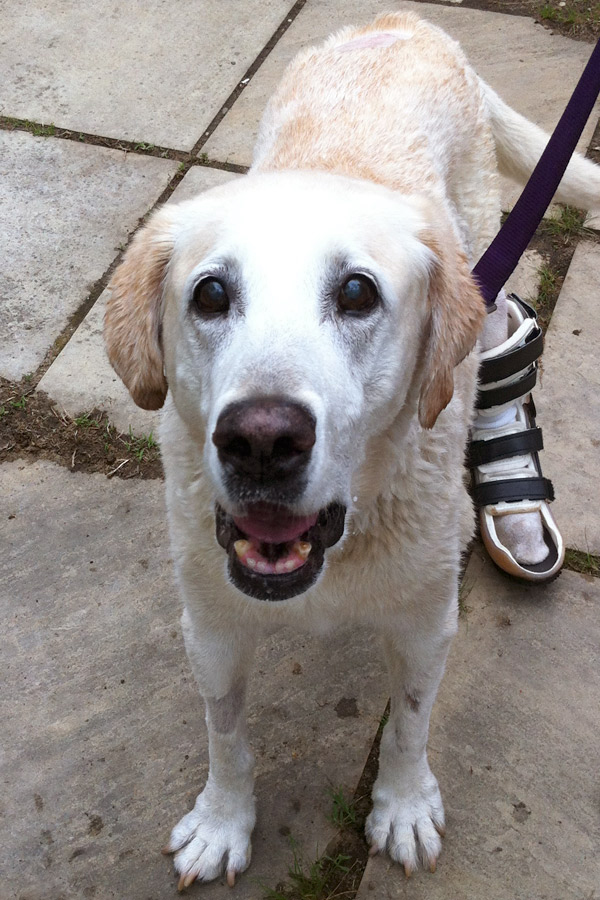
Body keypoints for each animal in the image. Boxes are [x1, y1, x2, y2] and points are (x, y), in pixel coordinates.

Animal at [104, 10, 600, 888]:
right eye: (210, 293)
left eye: (359, 293)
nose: (261, 440)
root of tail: (401, 21)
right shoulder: (211, 623)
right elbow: (225, 734)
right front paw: (222, 823)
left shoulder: (428, 620)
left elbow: (409, 724)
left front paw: (402, 808)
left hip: (483, 268)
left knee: (499, 329)